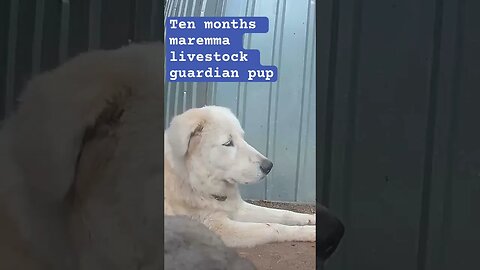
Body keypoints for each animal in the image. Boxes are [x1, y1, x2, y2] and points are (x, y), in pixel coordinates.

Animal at [165, 104, 318, 248]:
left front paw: (311, 218)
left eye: (242, 137)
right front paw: (309, 231)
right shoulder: (219, 227)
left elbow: (283, 213)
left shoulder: (238, 208)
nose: (268, 166)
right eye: (228, 143)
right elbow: (272, 227)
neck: (194, 182)